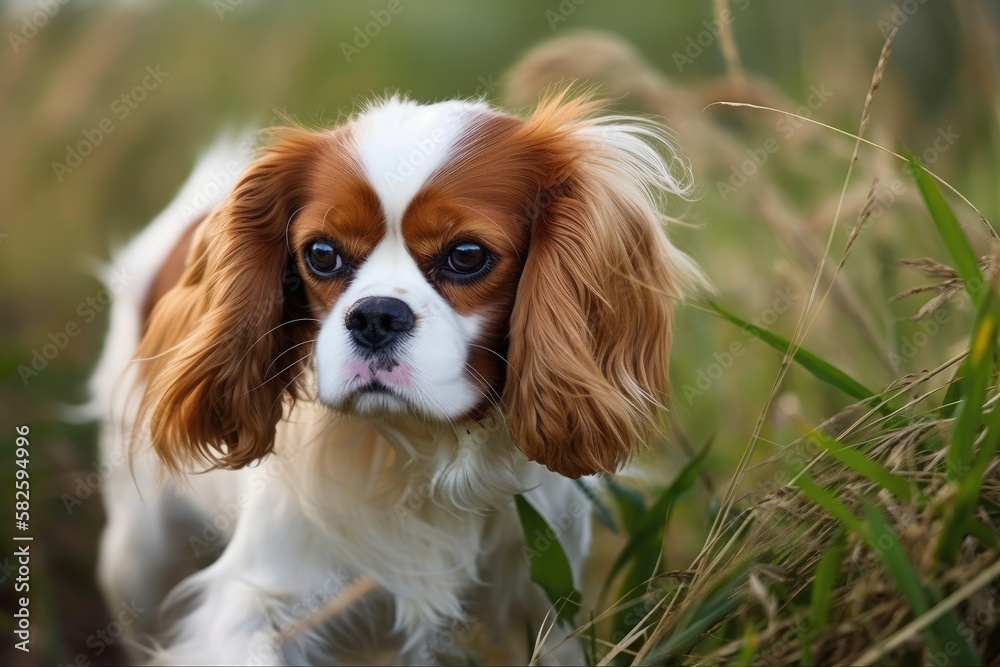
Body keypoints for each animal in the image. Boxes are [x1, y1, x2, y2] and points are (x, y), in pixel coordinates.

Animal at [92, 87, 704, 664]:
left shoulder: (546, 603)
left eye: (466, 254)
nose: (375, 316)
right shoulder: (249, 607)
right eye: (321, 254)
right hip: (137, 556)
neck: (423, 449)